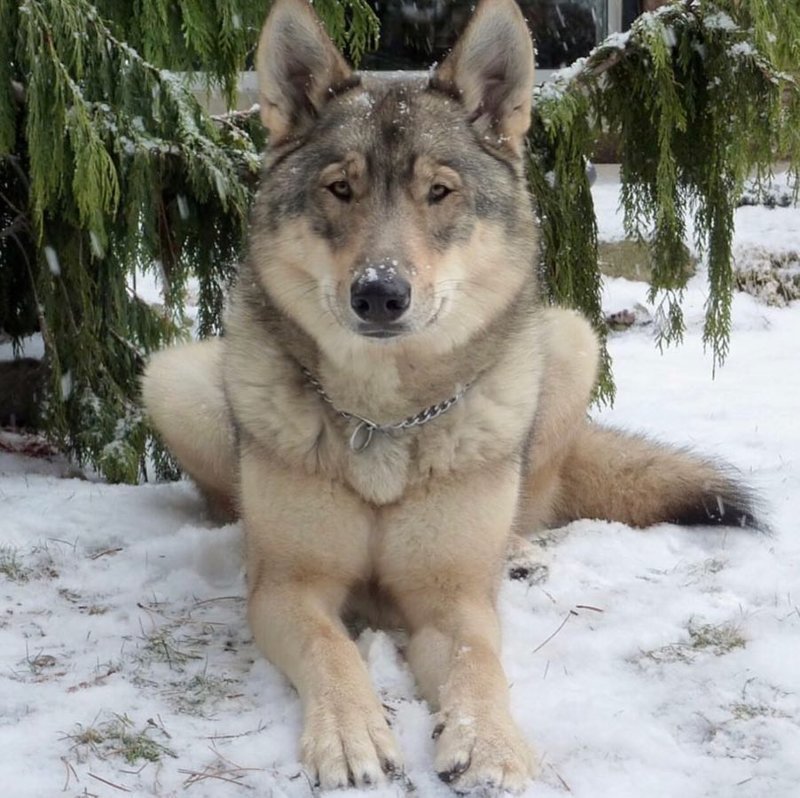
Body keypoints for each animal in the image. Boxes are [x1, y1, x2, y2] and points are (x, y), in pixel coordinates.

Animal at [141, 0, 760, 788]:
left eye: (439, 192)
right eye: (340, 189)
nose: (379, 294)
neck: (383, 419)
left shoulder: (452, 600)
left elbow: (478, 665)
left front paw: (490, 744)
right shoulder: (289, 588)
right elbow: (330, 649)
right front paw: (349, 732)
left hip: (570, 339)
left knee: (532, 499)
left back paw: (518, 551)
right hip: (174, 379)